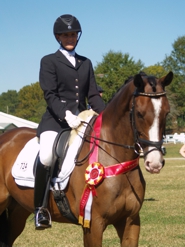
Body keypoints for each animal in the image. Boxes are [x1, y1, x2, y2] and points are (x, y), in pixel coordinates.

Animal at [0, 70, 173, 246]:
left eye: (166, 113)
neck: (118, 162)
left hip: (18, 210)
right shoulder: (93, 224)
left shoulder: (130, 221)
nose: (155, 163)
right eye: (139, 114)